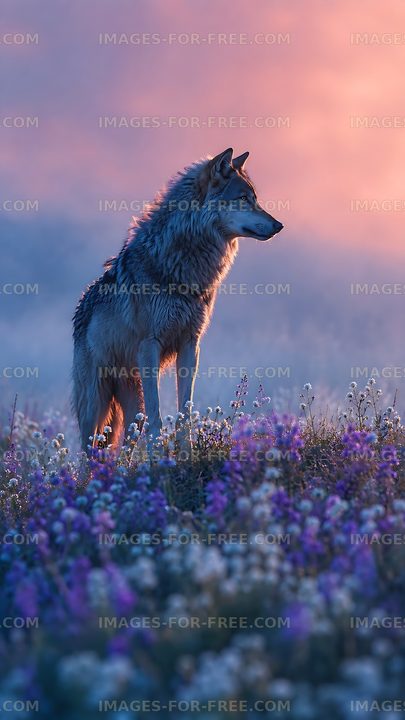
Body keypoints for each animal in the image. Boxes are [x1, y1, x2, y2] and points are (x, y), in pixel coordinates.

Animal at [73, 148, 283, 451]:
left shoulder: (190, 344)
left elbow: (185, 410)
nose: (279, 225)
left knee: (125, 440)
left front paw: (186, 452)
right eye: (244, 198)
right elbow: (157, 416)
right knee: (89, 447)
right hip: (95, 402)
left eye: (255, 198)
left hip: (129, 399)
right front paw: (158, 454)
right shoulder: (149, 346)